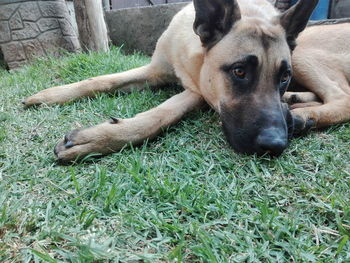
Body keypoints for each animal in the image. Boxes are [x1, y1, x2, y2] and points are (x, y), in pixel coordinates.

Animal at [22, 0, 350, 164]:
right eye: (239, 72)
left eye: (284, 76)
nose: (276, 144)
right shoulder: (155, 69)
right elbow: (101, 80)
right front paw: (52, 93)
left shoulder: (198, 90)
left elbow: (162, 114)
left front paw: (100, 138)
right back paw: (295, 105)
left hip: (304, 52)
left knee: (342, 97)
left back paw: (303, 117)